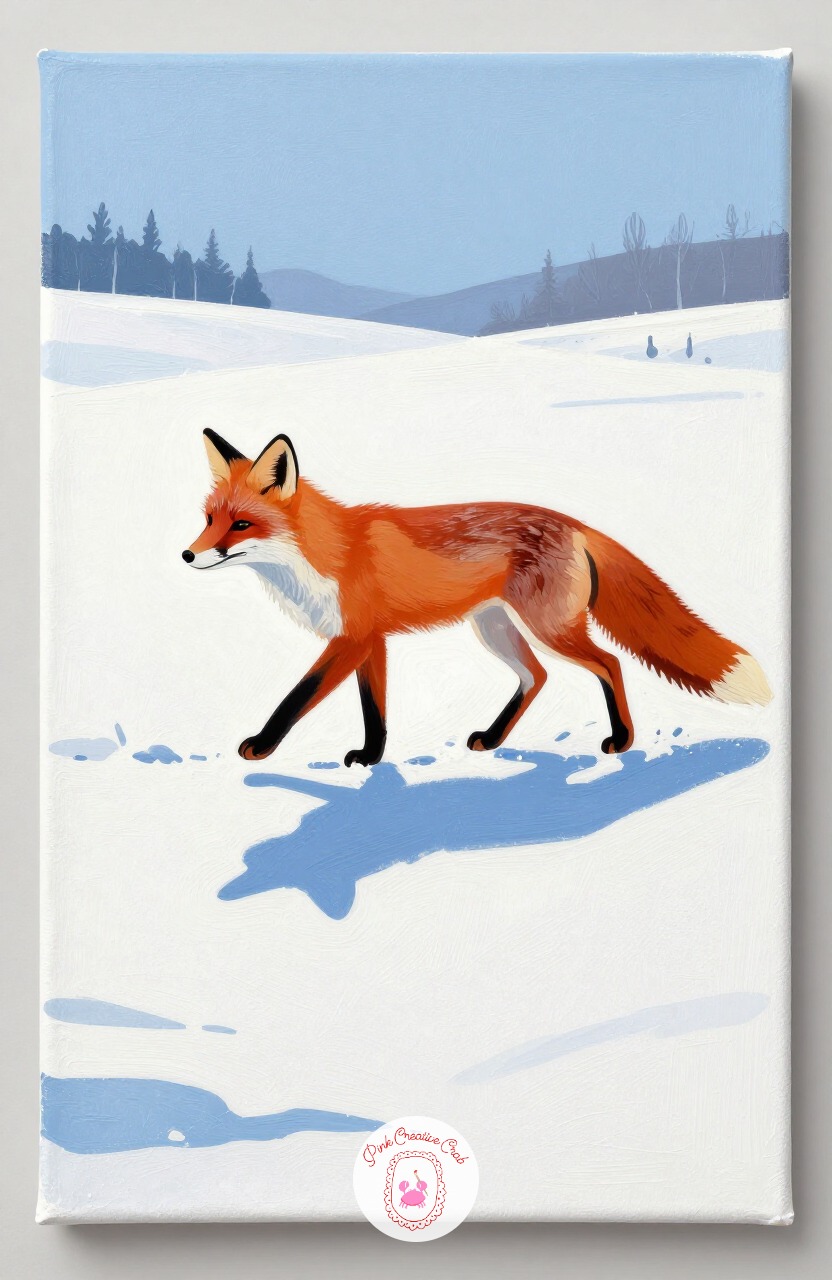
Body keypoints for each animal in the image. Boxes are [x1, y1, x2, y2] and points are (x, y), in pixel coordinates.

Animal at [183, 429, 772, 765]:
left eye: (241, 524)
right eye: (209, 519)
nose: (188, 556)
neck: (327, 553)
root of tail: (577, 524)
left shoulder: (350, 640)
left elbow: (297, 697)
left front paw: (262, 746)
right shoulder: (370, 641)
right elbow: (375, 709)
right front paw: (372, 757)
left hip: (550, 629)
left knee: (609, 664)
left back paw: (622, 740)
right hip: (495, 629)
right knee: (537, 677)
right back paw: (492, 739)